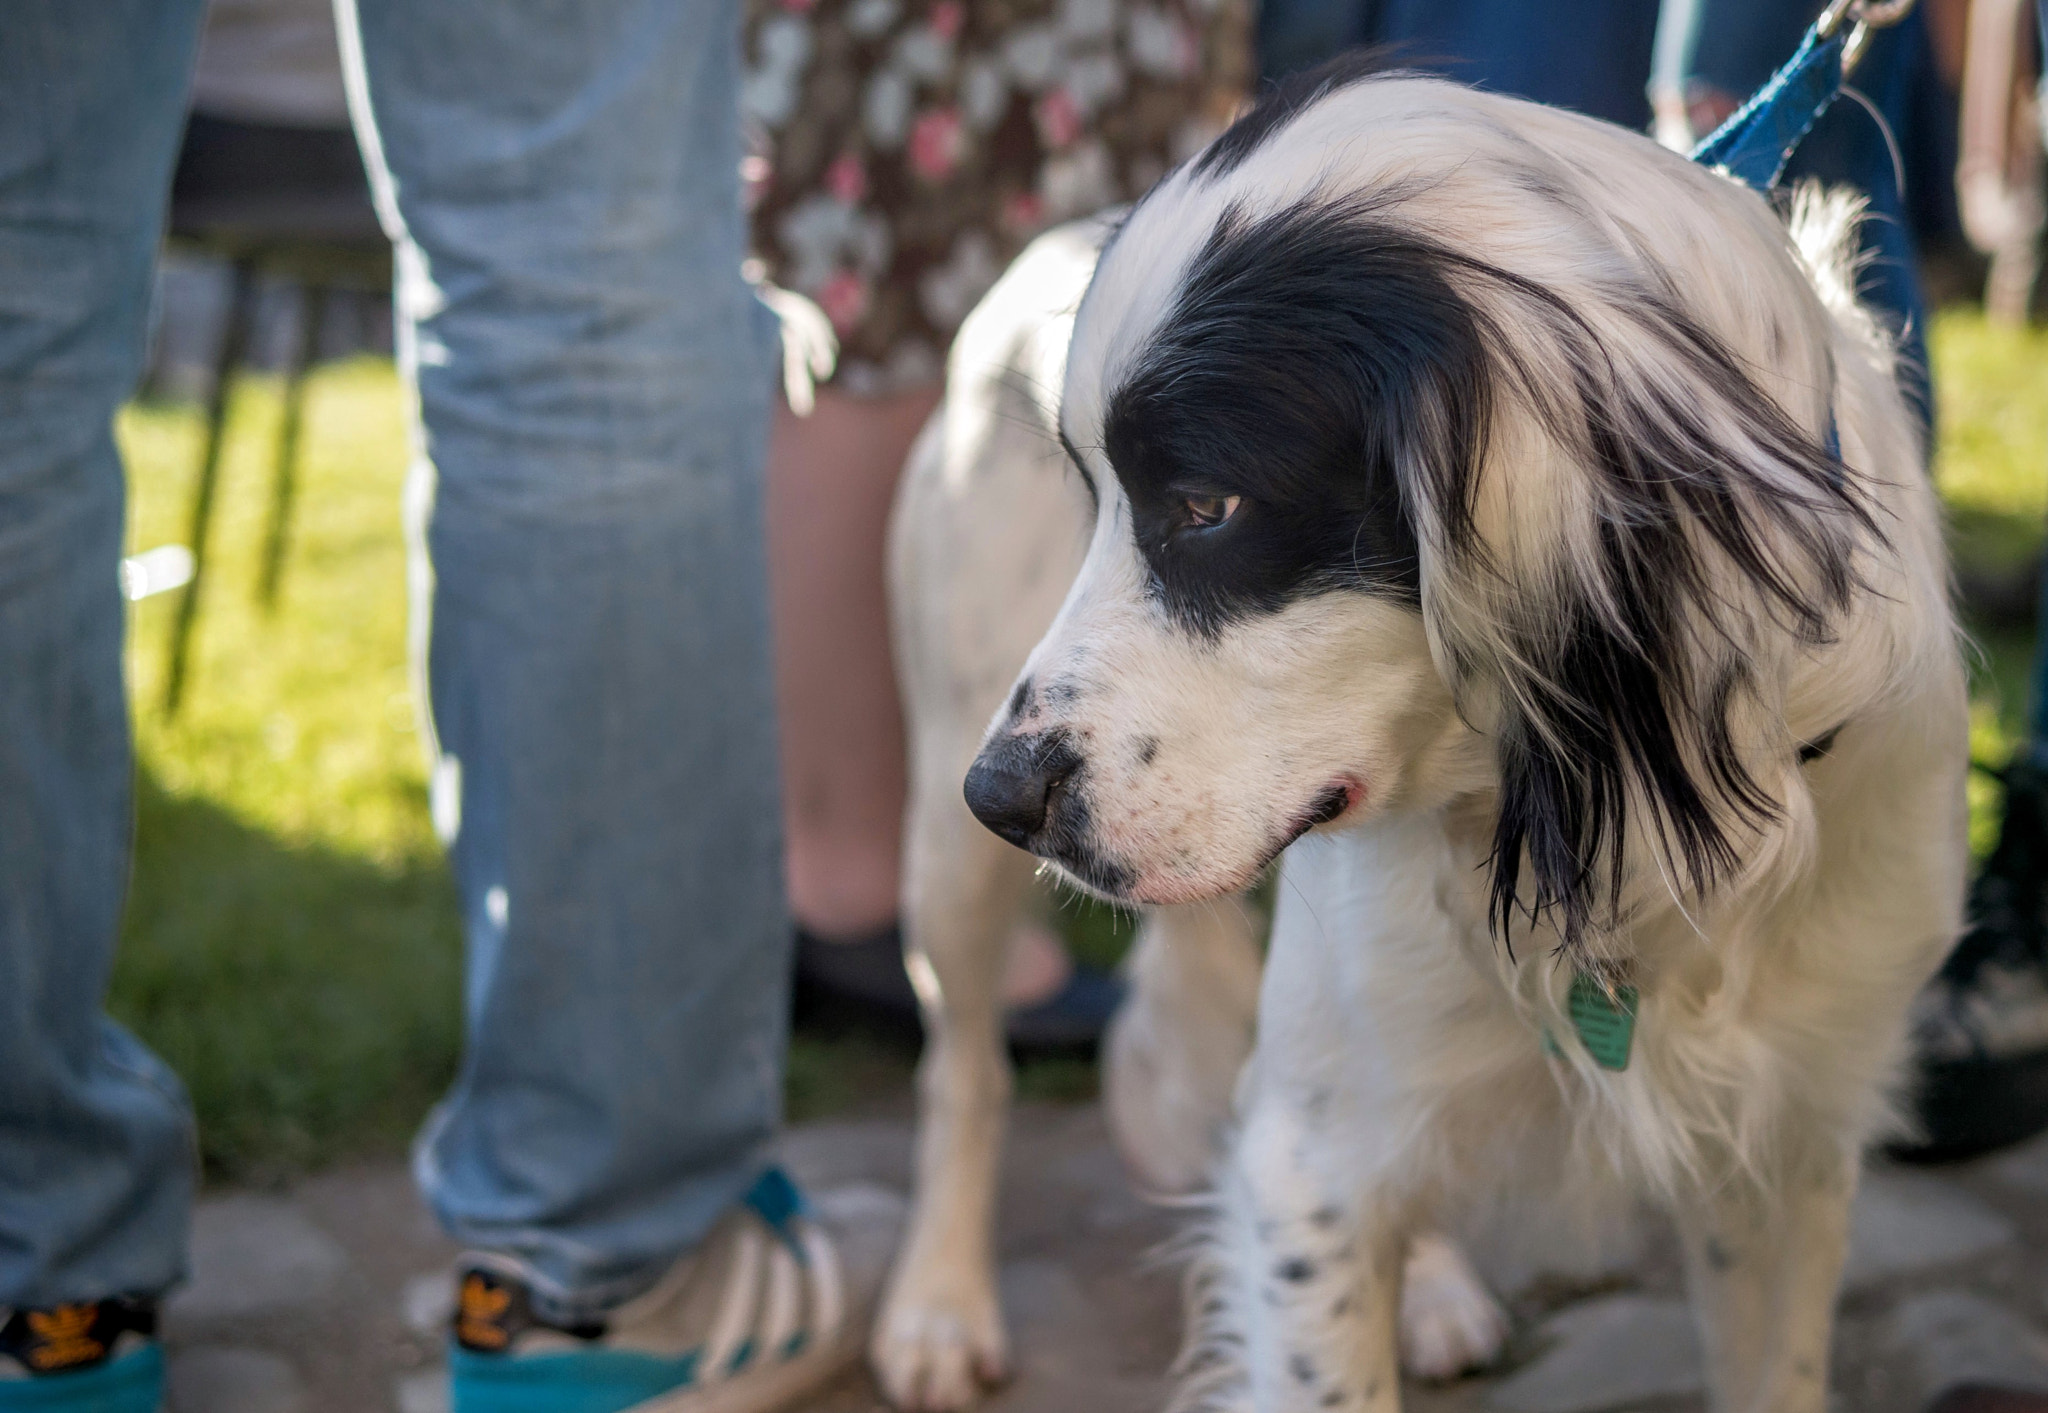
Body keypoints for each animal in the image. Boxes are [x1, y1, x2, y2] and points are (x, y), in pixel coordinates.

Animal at [876, 60, 1966, 1408]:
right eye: (1097, 499)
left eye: (1206, 505)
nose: (1002, 794)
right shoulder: (1305, 1171)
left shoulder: (1792, 1142)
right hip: (948, 852)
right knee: (963, 1071)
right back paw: (936, 1304)